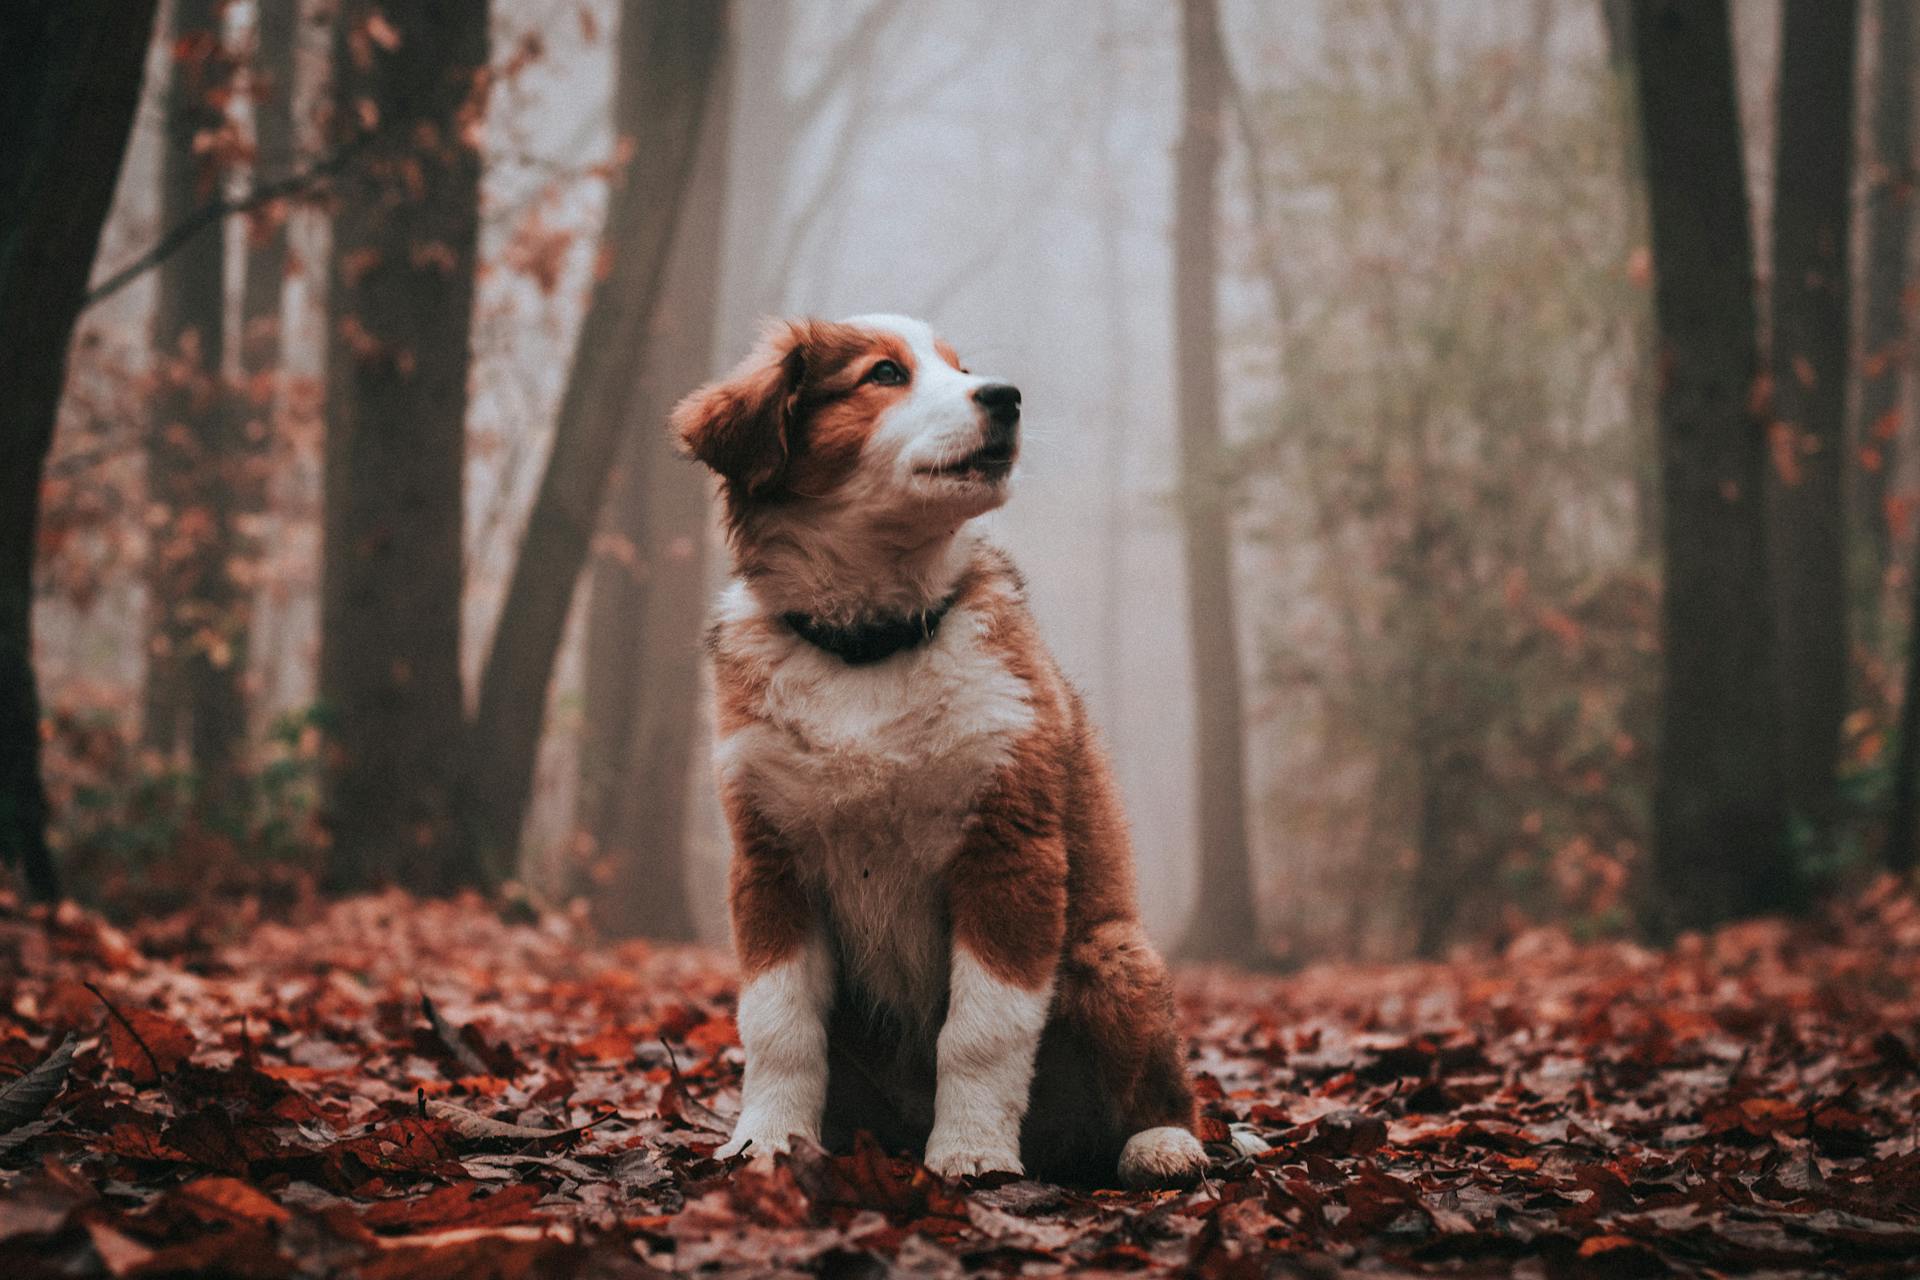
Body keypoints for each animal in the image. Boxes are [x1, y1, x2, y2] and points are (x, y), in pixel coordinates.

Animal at [679, 314, 1198, 1189]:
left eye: (963, 368)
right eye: (884, 374)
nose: (1007, 396)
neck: (868, 645)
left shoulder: (1009, 852)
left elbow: (981, 1030)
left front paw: (971, 1153)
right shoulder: (769, 862)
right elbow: (778, 1025)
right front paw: (767, 1142)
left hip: (1110, 952)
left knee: (1155, 1086)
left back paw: (1161, 1143)